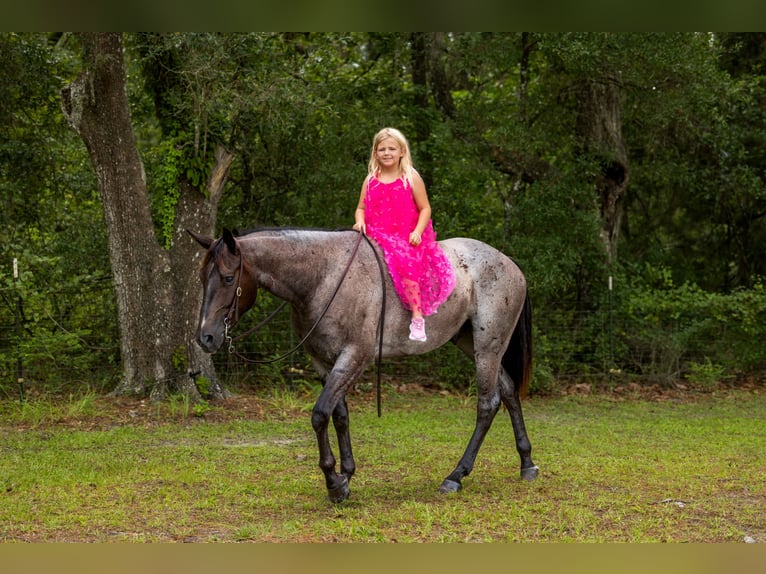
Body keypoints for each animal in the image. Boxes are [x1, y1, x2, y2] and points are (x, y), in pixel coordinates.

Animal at [189, 227, 539, 503]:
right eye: (202, 277)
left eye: (228, 278)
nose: (206, 337)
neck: (323, 278)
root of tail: (512, 266)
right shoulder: (324, 363)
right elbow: (339, 416)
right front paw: (346, 476)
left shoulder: (354, 357)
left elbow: (320, 415)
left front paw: (333, 483)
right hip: (473, 344)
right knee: (509, 392)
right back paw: (527, 463)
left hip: (488, 347)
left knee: (487, 404)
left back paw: (456, 475)